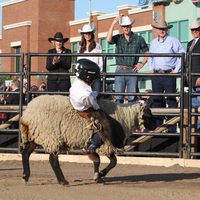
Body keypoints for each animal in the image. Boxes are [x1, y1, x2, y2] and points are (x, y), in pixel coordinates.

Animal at [20, 94, 155, 185]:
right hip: (51, 136)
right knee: (52, 159)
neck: (124, 117)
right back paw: (63, 181)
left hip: (36, 135)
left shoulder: (97, 144)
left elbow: (100, 160)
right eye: (148, 114)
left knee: (25, 154)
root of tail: (27, 114)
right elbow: (111, 161)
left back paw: (25, 176)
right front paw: (100, 175)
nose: (155, 125)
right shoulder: (105, 144)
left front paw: (99, 176)